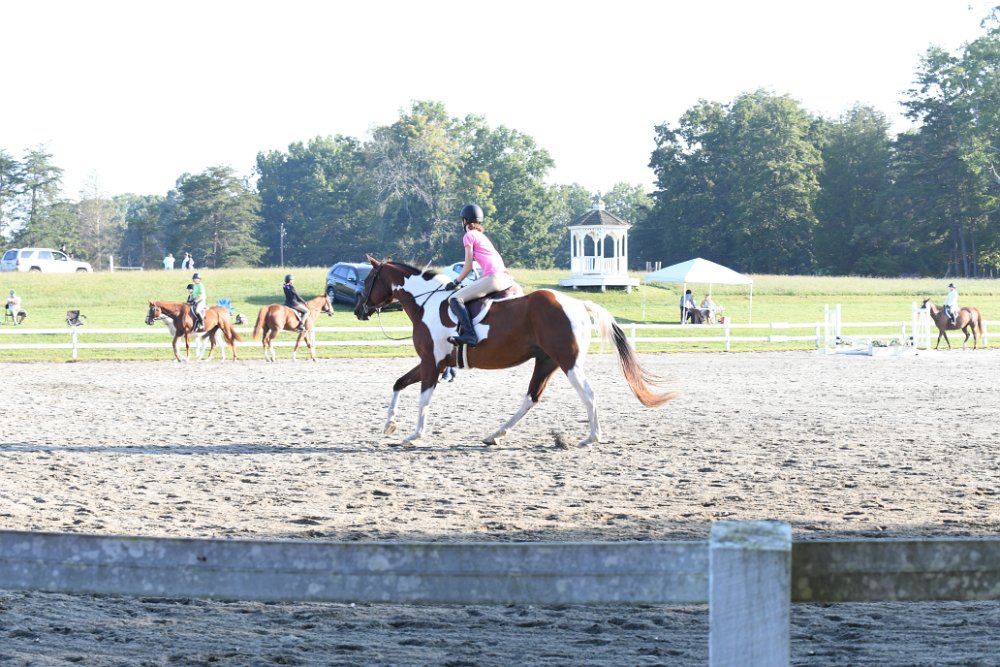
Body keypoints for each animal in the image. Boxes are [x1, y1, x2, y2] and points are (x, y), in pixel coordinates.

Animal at [354, 256, 677, 448]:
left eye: (368, 280)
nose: (359, 310)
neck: (426, 302)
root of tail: (578, 303)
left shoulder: (431, 362)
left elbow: (423, 399)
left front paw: (413, 435)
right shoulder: (432, 362)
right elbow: (398, 384)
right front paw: (389, 425)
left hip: (568, 362)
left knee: (587, 393)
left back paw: (590, 438)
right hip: (546, 362)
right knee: (531, 397)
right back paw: (495, 435)